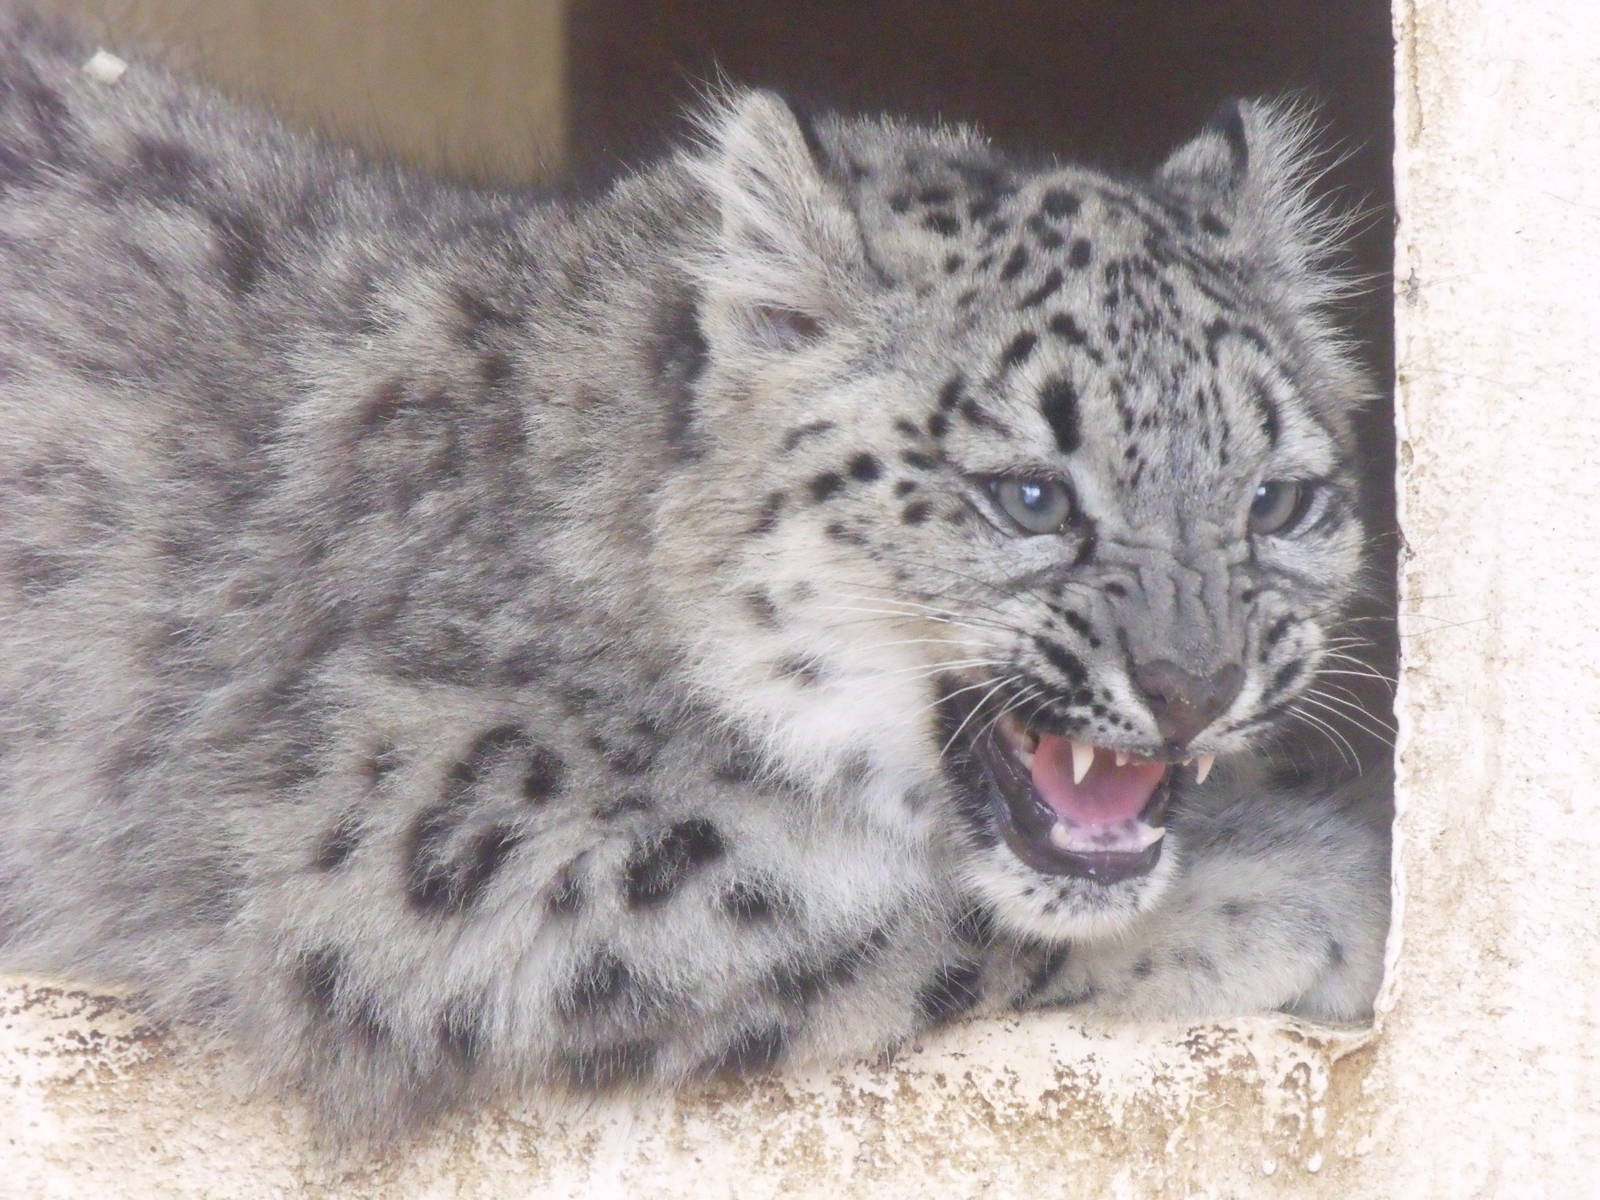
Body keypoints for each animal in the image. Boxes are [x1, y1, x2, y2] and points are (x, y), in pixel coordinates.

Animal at [0, 10, 1390, 1139]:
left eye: (1277, 500)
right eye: (1032, 496)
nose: (1194, 688)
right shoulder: (404, 825)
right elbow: (830, 902)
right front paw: (1315, 892)